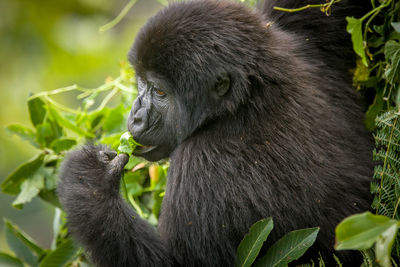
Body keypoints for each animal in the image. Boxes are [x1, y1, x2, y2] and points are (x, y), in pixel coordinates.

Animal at [57, 0, 374, 266]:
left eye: (160, 92)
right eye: (142, 82)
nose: (135, 116)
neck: (245, 101)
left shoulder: (199, 165)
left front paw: (87, 183)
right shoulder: (289, 39)